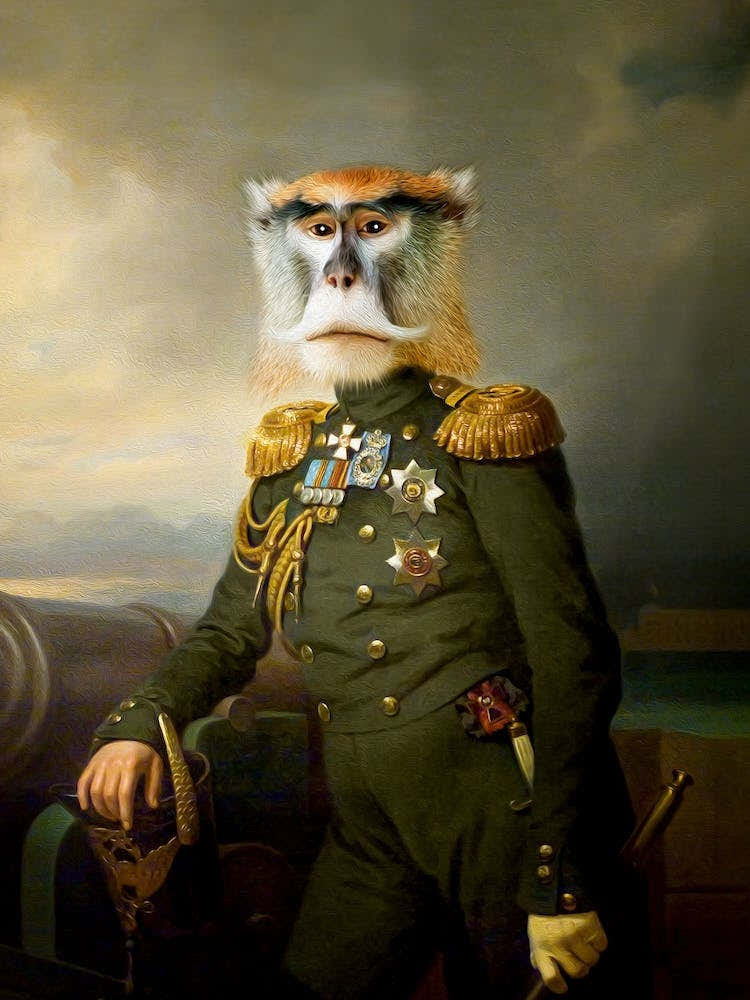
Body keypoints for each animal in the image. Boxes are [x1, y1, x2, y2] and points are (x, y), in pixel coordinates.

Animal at [78, 165, 640, 998]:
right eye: (319, 231)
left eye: (375, 227)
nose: (340, 277)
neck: (368, 411)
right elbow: (229, 626)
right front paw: (126, 750)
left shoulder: (511, 452)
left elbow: (561, 633)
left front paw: (563, 927)